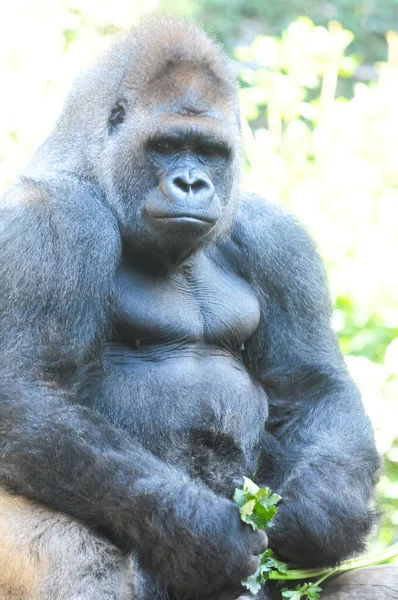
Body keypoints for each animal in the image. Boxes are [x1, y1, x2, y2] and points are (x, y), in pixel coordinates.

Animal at [0, 14, 380, 600]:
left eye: (210, 152)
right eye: (167, 144)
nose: (191, 182)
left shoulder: (277, 238)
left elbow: (313, 386)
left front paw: (316, 520)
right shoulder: (52, 220)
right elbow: (27, 389)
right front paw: (202, 534)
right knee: (77, 558)